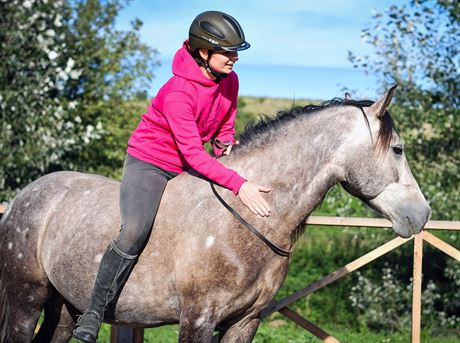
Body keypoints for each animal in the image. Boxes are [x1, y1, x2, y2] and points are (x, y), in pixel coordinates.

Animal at [0, 84, 432, 342]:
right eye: (398, 149)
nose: (423, 214)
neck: (247, 221)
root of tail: (22, 198)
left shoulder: (245, 321)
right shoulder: (197, 319)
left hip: (64, 306)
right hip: (25, 300)